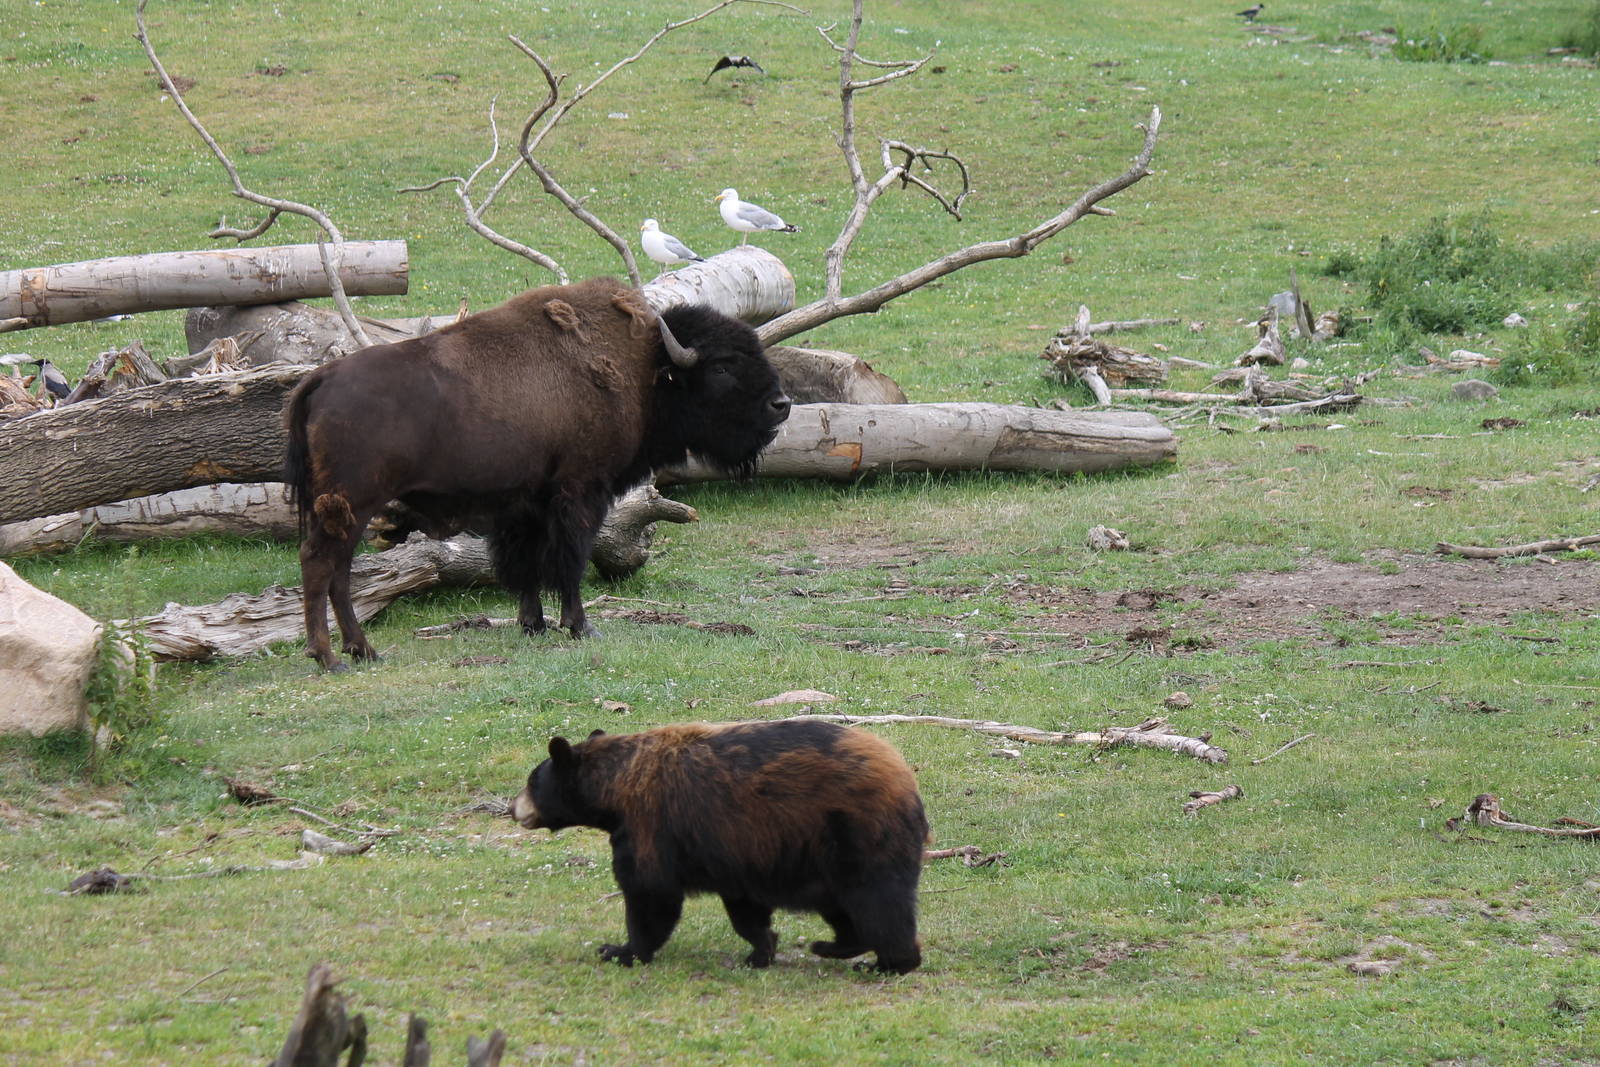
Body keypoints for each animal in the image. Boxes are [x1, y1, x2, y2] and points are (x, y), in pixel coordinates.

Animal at [283, 277, 791, 671]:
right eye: (722, 367)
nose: (781, 404)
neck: (646, 369)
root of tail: (321, 377)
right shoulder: (580, 491)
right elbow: (569, 558)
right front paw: (580, 627)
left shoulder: (523, 504)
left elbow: (525, 564)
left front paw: (533, 625)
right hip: (351, 502)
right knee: (321, 563)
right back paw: (330, 657)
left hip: (348, 509)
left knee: (339, 570)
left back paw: (361, 652)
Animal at [511, 719, 928, 974]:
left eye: (531, 781)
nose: (513, 808)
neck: (617, 784)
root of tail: (905, 778)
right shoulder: (734, 851)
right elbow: (746, 909)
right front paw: (761, 950)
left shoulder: (649, 824)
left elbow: (651, 892)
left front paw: (620, 950)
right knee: (846, 907)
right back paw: (834, 946)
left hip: (857, 835)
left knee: (877, 901)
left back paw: (887, 963)